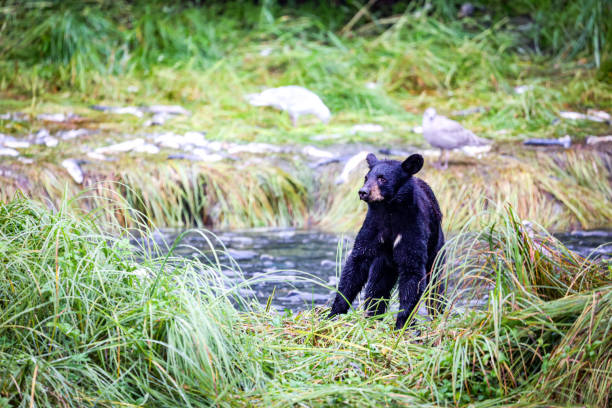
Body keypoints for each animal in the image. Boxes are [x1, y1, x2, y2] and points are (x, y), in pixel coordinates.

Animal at [330, 152, 444, 328]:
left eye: (382, 178)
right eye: (366, 177)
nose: (363, 192)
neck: (390, 210)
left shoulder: (411, 228)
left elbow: (412, 272)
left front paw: (402, 323)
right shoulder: (373, 227)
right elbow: (355, 265)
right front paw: (333, 313)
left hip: (436, 247)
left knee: (436, 285)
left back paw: (438, 314)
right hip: (383, 262)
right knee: (377, 287)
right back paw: (372, 315)